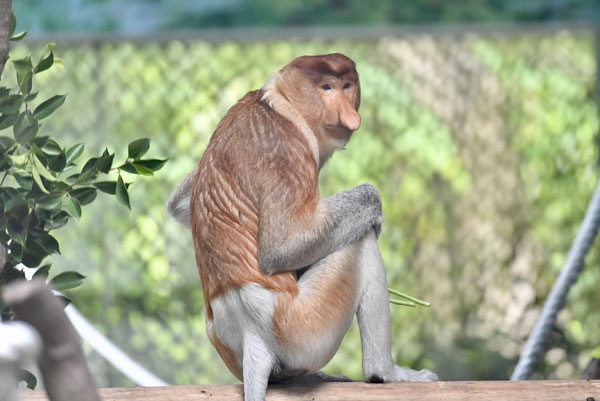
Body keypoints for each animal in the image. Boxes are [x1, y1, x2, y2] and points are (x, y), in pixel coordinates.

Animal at [166, 54, 438, 400]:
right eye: (326, 87)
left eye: (347, 86)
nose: (351, 117)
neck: (277, 101)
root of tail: (251, 334)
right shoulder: (285, 145)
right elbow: (283, 246)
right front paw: (374, 207)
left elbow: (179, 205)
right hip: (304, 326)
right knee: (359, 244)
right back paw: (386, 373)